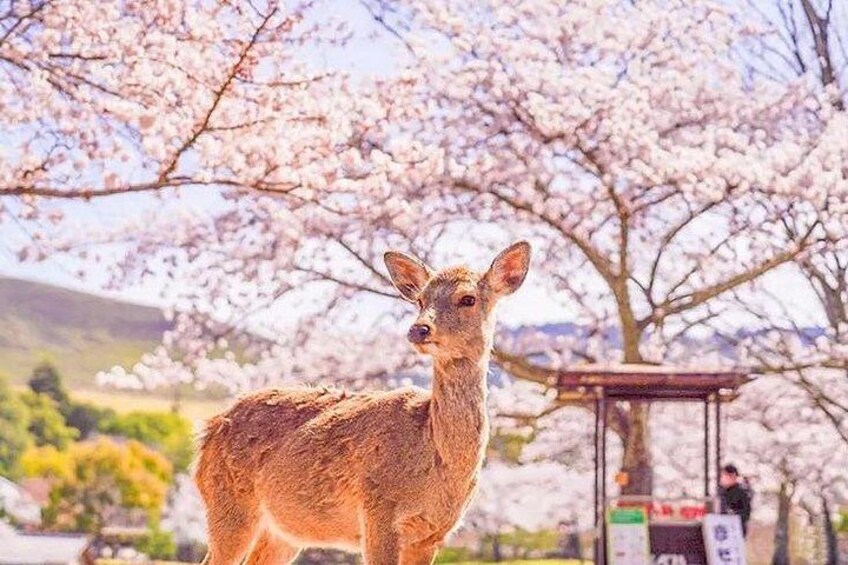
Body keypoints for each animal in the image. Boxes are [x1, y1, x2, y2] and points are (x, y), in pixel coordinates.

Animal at [194, 241, 531, 565]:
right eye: (421, 300)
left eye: (468, 299)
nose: (419, 328)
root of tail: (207, 433)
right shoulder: (378, 511)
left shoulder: (433, 533)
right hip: (228, 501)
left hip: (284, 530)